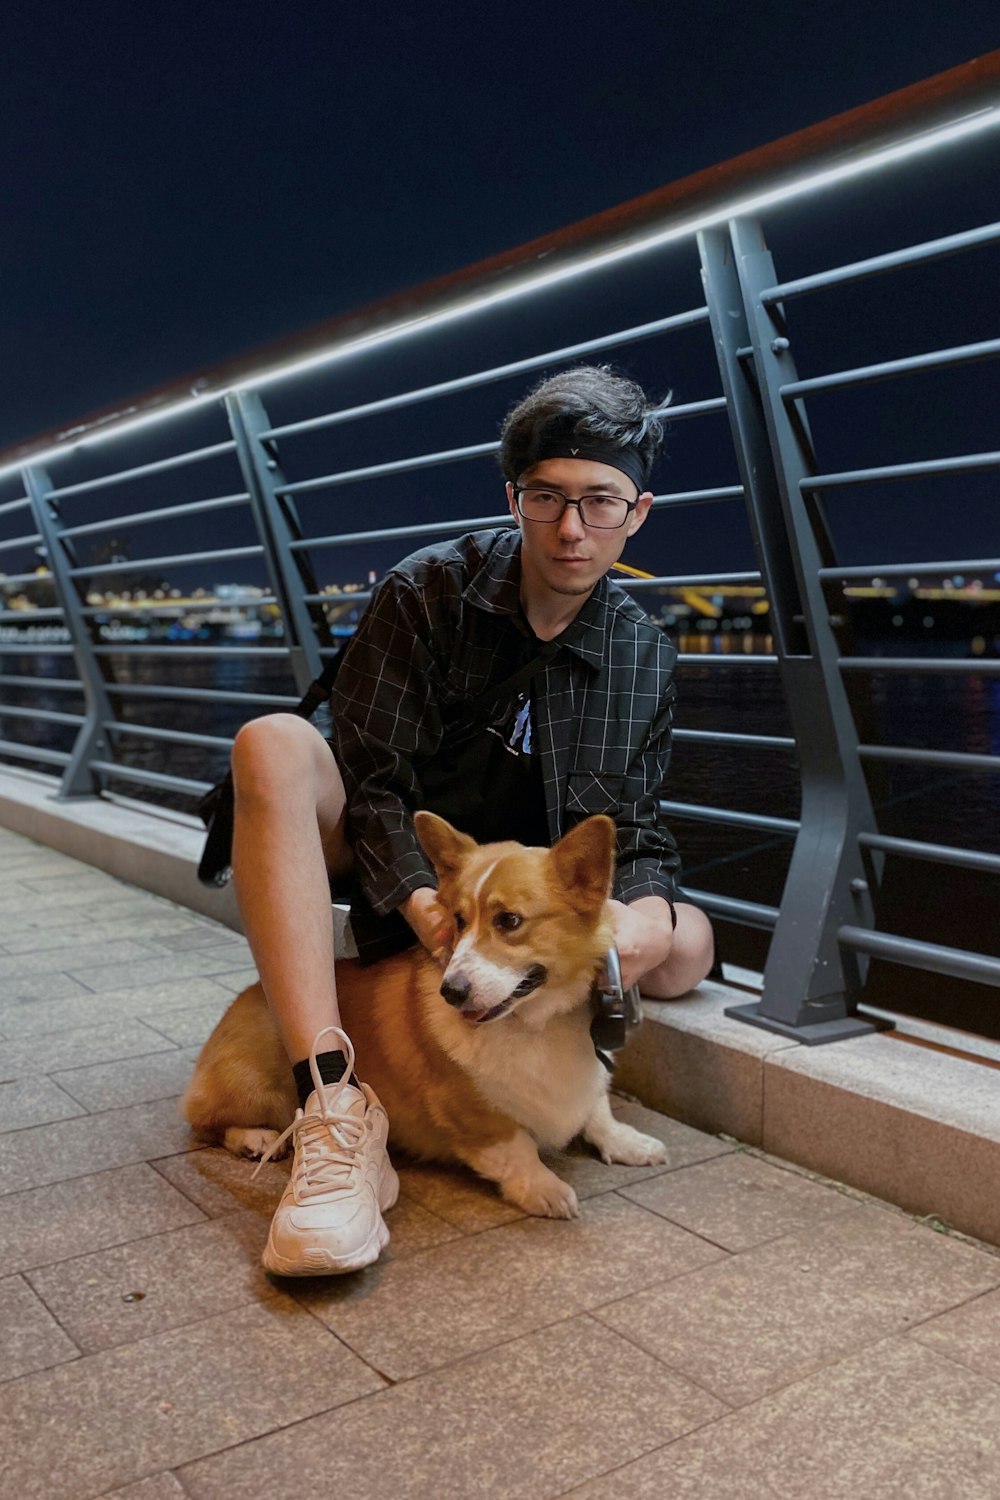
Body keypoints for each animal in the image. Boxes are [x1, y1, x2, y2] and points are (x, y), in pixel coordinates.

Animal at [182, 810, 665, 1218]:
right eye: (458, 919)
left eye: (509, 920)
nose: (451, 991)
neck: (536, 1022)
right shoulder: (467, 1112)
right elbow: (515, 1145)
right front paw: (544, 1188)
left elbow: (597, 1109)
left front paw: (627, 1142)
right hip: (257, 1083)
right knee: (202, 1121)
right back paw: (255, 1138)